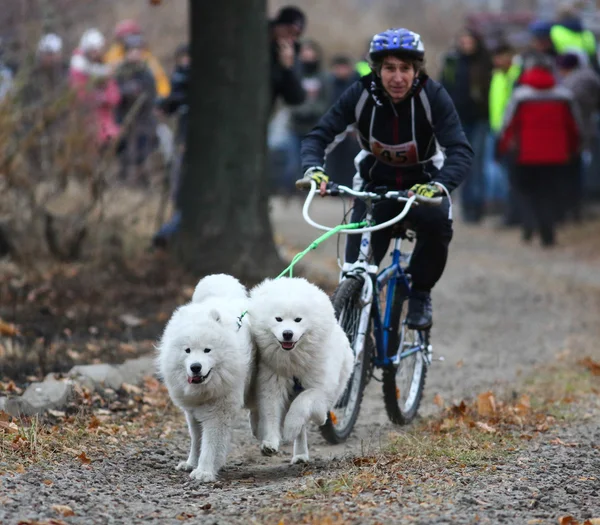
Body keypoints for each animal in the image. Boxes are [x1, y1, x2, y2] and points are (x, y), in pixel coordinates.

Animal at [156, 274, 254, 484]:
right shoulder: (192, 412)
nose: (195, 367)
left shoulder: (218, 413)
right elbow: (197, 441)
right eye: (187, 350)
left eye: (207, 350)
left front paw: (204, 471)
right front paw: (192, 463)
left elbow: (210, 445)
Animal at [247, 276, 352, 460]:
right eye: (278, 319)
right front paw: (270, 443)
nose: (287, 334)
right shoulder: (271, 384)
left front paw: (290, 427)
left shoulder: (319, 388)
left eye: (298, 319)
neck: (293, 363)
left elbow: (302, 402)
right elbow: (271, 415)